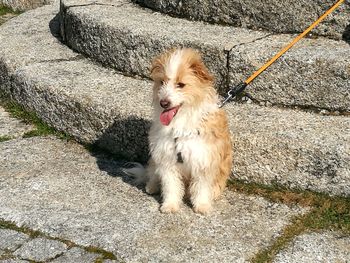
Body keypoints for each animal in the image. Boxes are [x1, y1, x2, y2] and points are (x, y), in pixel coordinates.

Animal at [145, 48, 232, 216]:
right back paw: (151, 186)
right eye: (162, 82)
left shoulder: (203, 159)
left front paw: (202, 205)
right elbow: (170, 186)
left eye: (181, 84)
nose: (164, 103)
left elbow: (202, 187)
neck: (181, 122)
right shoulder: (167, 159)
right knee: (153, 174)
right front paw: (170, 205)